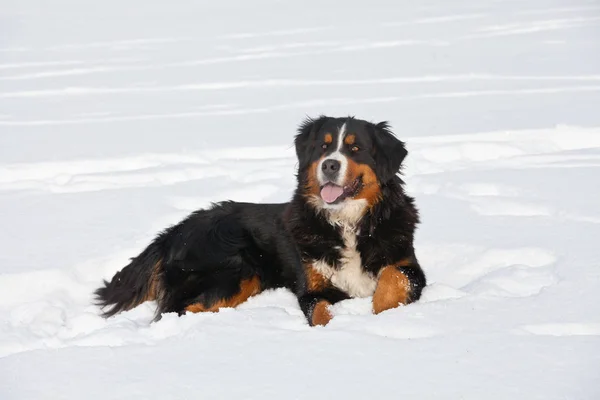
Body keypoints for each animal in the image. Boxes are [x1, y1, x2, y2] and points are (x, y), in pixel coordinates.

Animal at [95, 115, 426, 324]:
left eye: (356, 148)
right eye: (323, 147)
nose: (330, 165)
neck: (346, 221)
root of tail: (173, 232)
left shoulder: (408, 263)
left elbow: (395, 276)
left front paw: (383, 312)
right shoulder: (311, 287)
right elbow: (319, 312)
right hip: (234, 268)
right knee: (182, 310)